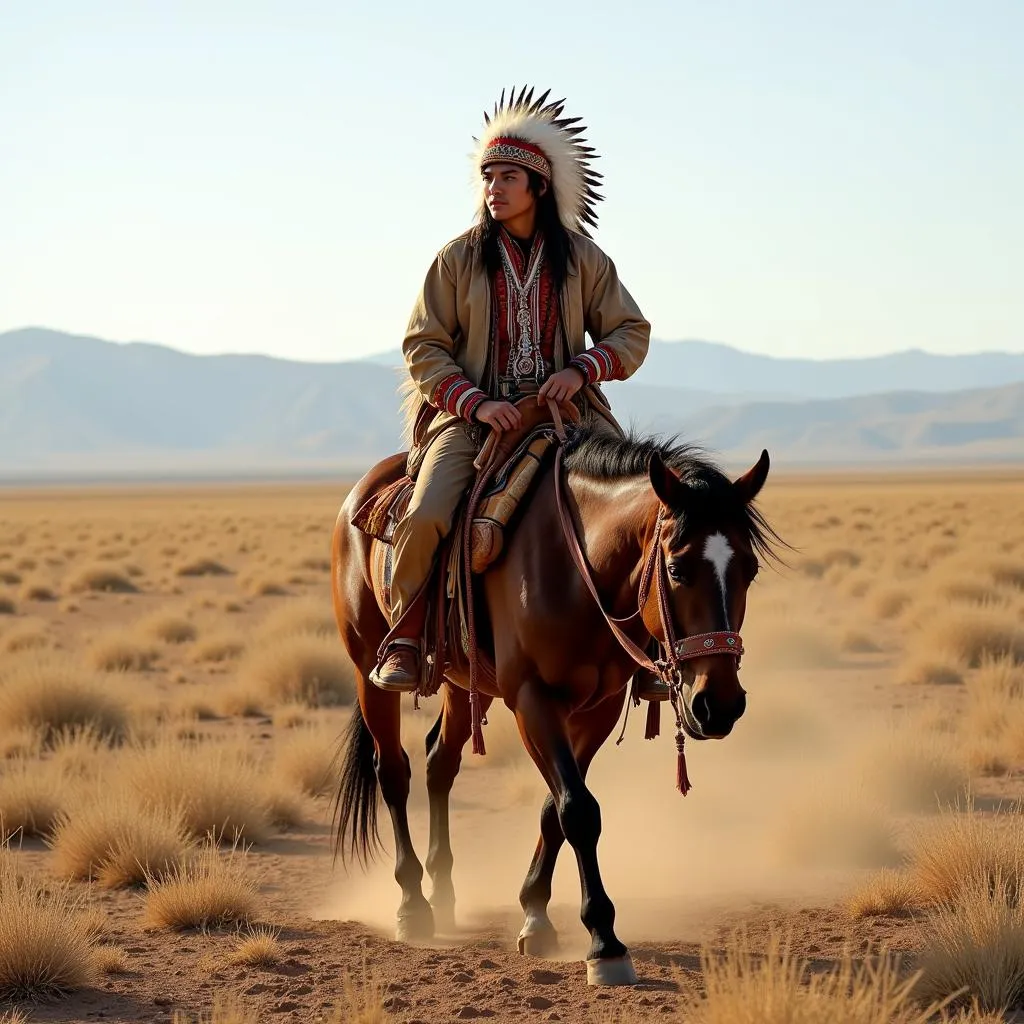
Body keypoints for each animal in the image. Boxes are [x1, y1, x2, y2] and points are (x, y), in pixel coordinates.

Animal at [331, 423, 778, 983]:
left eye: (751, 569)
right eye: (676, 569)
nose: (719, 705)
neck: (574, 569)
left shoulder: (598, 707)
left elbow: (555, 806)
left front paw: (535, 915)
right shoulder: (533, 698)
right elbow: (578, 809)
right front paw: (605, 942)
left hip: (464, 683)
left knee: (439, 762)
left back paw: (446, 892)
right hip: (366, 665)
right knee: (393, 769)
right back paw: (414, 904)